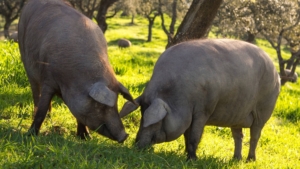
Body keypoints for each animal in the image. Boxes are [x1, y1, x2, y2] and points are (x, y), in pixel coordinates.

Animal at [18, 0, 135, 143]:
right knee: (36, 94)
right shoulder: (48, 79)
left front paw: (86, 137)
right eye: (101, 106)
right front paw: (30, 135)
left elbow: (80, 116)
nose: (125, 136)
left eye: (117, 103)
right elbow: (42, 109)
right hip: (25, 59)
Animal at [120, 38, 282, 161]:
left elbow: (194, 136)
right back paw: (236, 159)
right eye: (141, 114)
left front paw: (192, 159)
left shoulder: (203, 110)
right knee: (238, 136)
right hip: (237, 113)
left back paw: (250, 160)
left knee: (255, 135)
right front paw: (186, 155)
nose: (136, 145)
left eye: (157, 121)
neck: (175, 94)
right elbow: (187, 135)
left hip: (263, 110)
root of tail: (276, 73)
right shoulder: (189, 114)